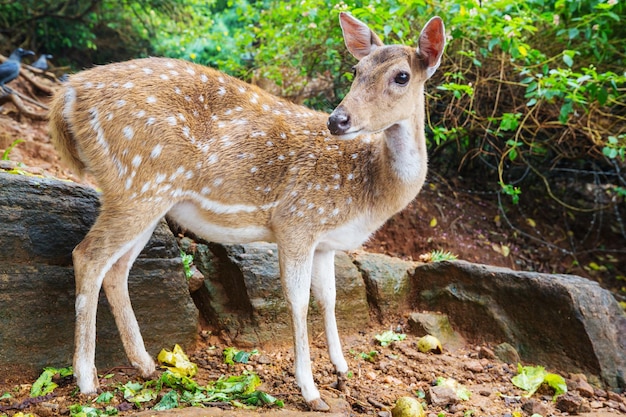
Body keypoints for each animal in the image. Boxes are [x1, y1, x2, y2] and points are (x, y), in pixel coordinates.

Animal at [48, 12, 444, 410]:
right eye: (356, 69)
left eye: (401, 76)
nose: (338, 120)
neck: (369, 189)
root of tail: (66, 95)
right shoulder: (296, 219)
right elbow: (298, 301)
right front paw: (311, 391)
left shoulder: (325, 241)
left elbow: (329, 298)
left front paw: (341, 369)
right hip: (137, 183)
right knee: (88, 256)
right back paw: (86, 380)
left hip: (146, 196)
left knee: (116, 269)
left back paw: (145, 364)